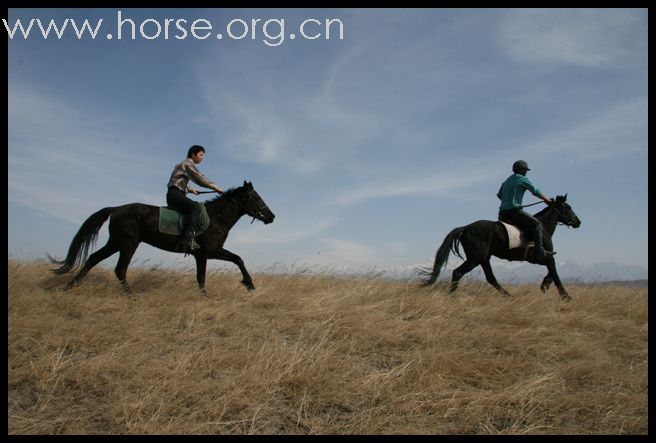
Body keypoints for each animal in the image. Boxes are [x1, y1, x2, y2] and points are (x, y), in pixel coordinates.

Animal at [47, 180, 274, 294]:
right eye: (256, 197)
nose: (272, 216)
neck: (217, 216)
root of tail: (117, 209)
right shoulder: (211, 251)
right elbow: (238, 259)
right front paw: (249, 285)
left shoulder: (201, 256)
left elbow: (201, 278)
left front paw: (206, 297)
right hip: (128, 243)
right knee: (120, 269)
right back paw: (131, 295)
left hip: (116, 242)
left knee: (94, 258)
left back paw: (70, 286)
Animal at [420, 195, 580, 302]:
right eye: (569, 208)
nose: (578, 222)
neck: (543, 227)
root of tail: (465, 228)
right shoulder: (542, 257)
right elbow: (555, 273)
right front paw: (565, 296)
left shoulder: (542, 258)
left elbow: (552, 272)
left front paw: (544, 285)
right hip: (475, 259)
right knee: (458, 272)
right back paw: (452, 296)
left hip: (484, 258)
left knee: (491, 278)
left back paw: (509, 296)